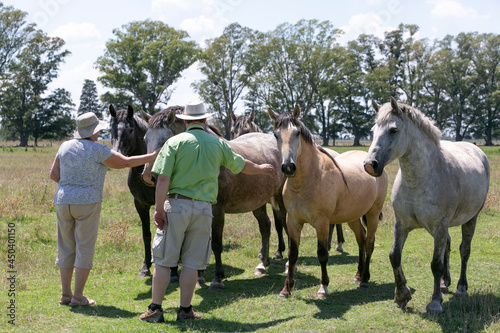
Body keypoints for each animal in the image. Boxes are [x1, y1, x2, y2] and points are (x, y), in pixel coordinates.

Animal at [268, 105, 388, 296]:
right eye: (275, 134)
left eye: (297, 132)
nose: (288, 167)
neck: (307, 180)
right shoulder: (293, 221)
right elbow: (293, 255)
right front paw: (286, 289)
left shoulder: (322, 223)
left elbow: (322, 254)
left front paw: (323, 287)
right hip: (353, 216)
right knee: (361, 239)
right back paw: (358, 275)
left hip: (373, 214)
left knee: (369, 243)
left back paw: (365, 280)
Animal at [362, 96, 490, 314]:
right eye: (373, 129)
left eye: (393, 130)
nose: (370, 165)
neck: (419, 181)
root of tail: (475, 148)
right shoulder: (402, 224)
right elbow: (394, 256)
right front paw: (401, 294)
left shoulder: (439, 226)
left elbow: (436, 264)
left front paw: (435, 303)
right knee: (447, 245)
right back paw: (445, 283)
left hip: (470, 219)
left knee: (464, 250)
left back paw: (461, 287)